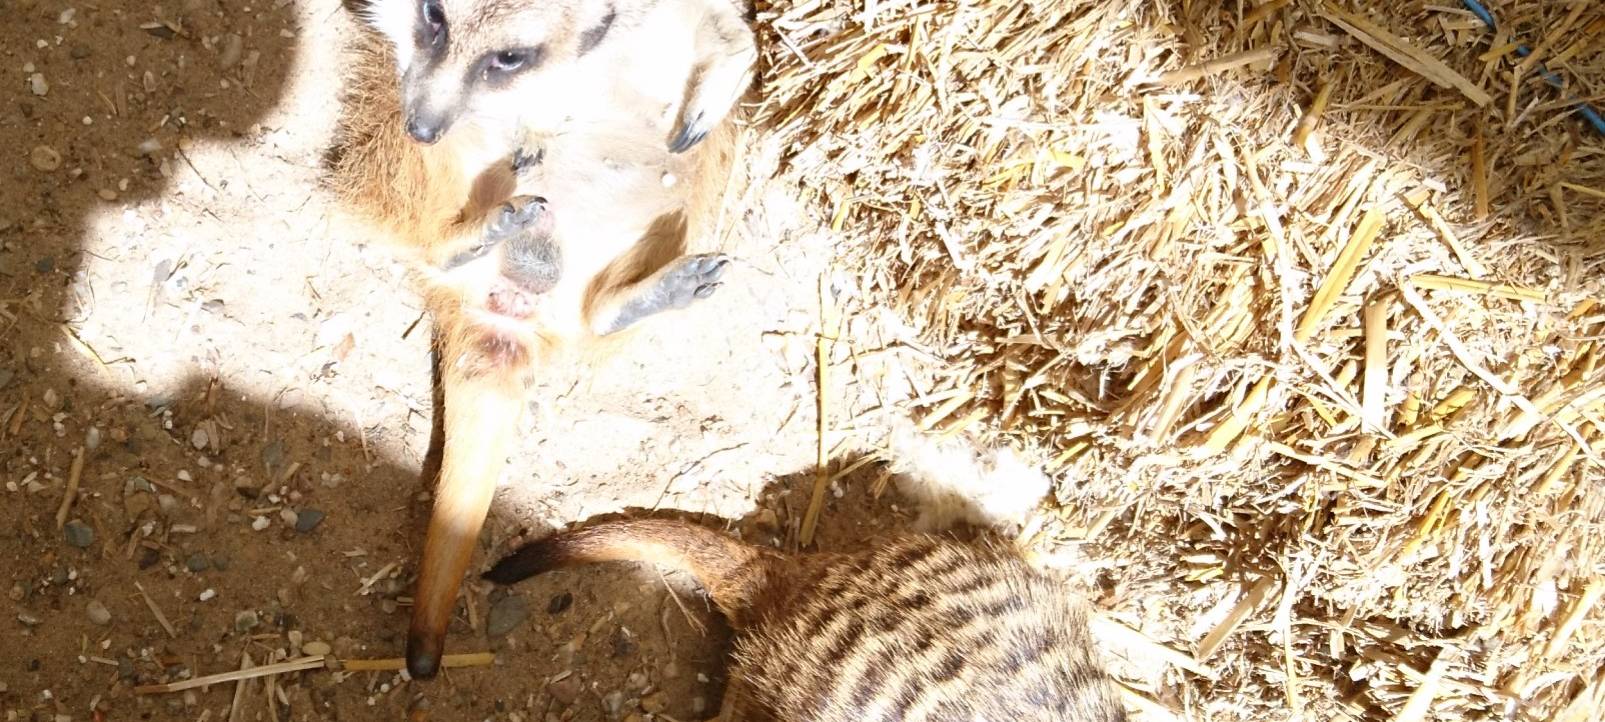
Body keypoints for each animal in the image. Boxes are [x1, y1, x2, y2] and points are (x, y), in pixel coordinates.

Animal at [327, 0, 756, 680]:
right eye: (433, 18)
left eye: (509, 57)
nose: (424, 123)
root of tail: (509, 310)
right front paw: (529, 137)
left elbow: (734, 34)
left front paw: (710, 97)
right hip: (411, 168)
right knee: (422, 213)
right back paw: (474, 234)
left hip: (687, 202)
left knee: (597, 307)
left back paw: (646, 292)